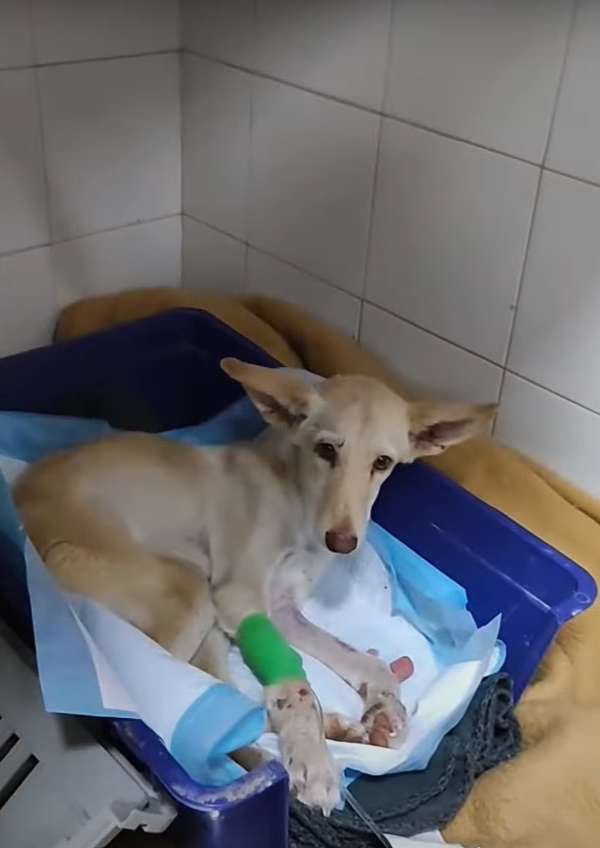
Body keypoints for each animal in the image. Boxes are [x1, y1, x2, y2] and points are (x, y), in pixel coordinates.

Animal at [14, 362, 494, 812]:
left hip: (206, 620)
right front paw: (312, 758)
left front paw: (386, 706)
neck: (298, 500)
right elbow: (298, 689)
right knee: (162, 704)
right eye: (325, 449)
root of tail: (19, 494)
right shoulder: (240, 598)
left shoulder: (281, 610)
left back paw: (336, 729)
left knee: (225, 703)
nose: (342, 542)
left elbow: (360, 661)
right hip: (188, 594)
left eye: (383, 463)